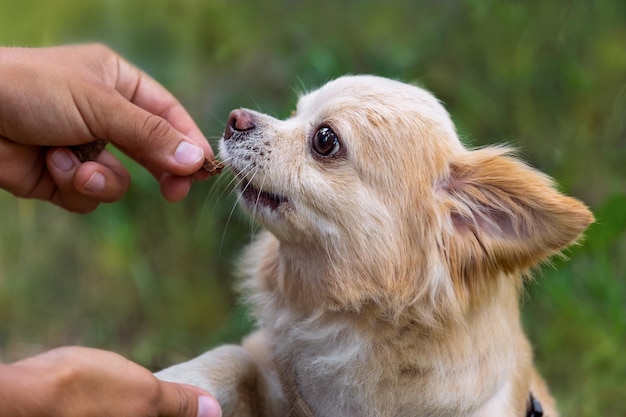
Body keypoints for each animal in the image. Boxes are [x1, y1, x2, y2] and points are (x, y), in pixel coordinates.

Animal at [155, 75, 588, 416]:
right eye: (294, 112)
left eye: (325, 140)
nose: (235, 118)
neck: (342, 321)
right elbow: (234, 357)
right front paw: (173, 380)